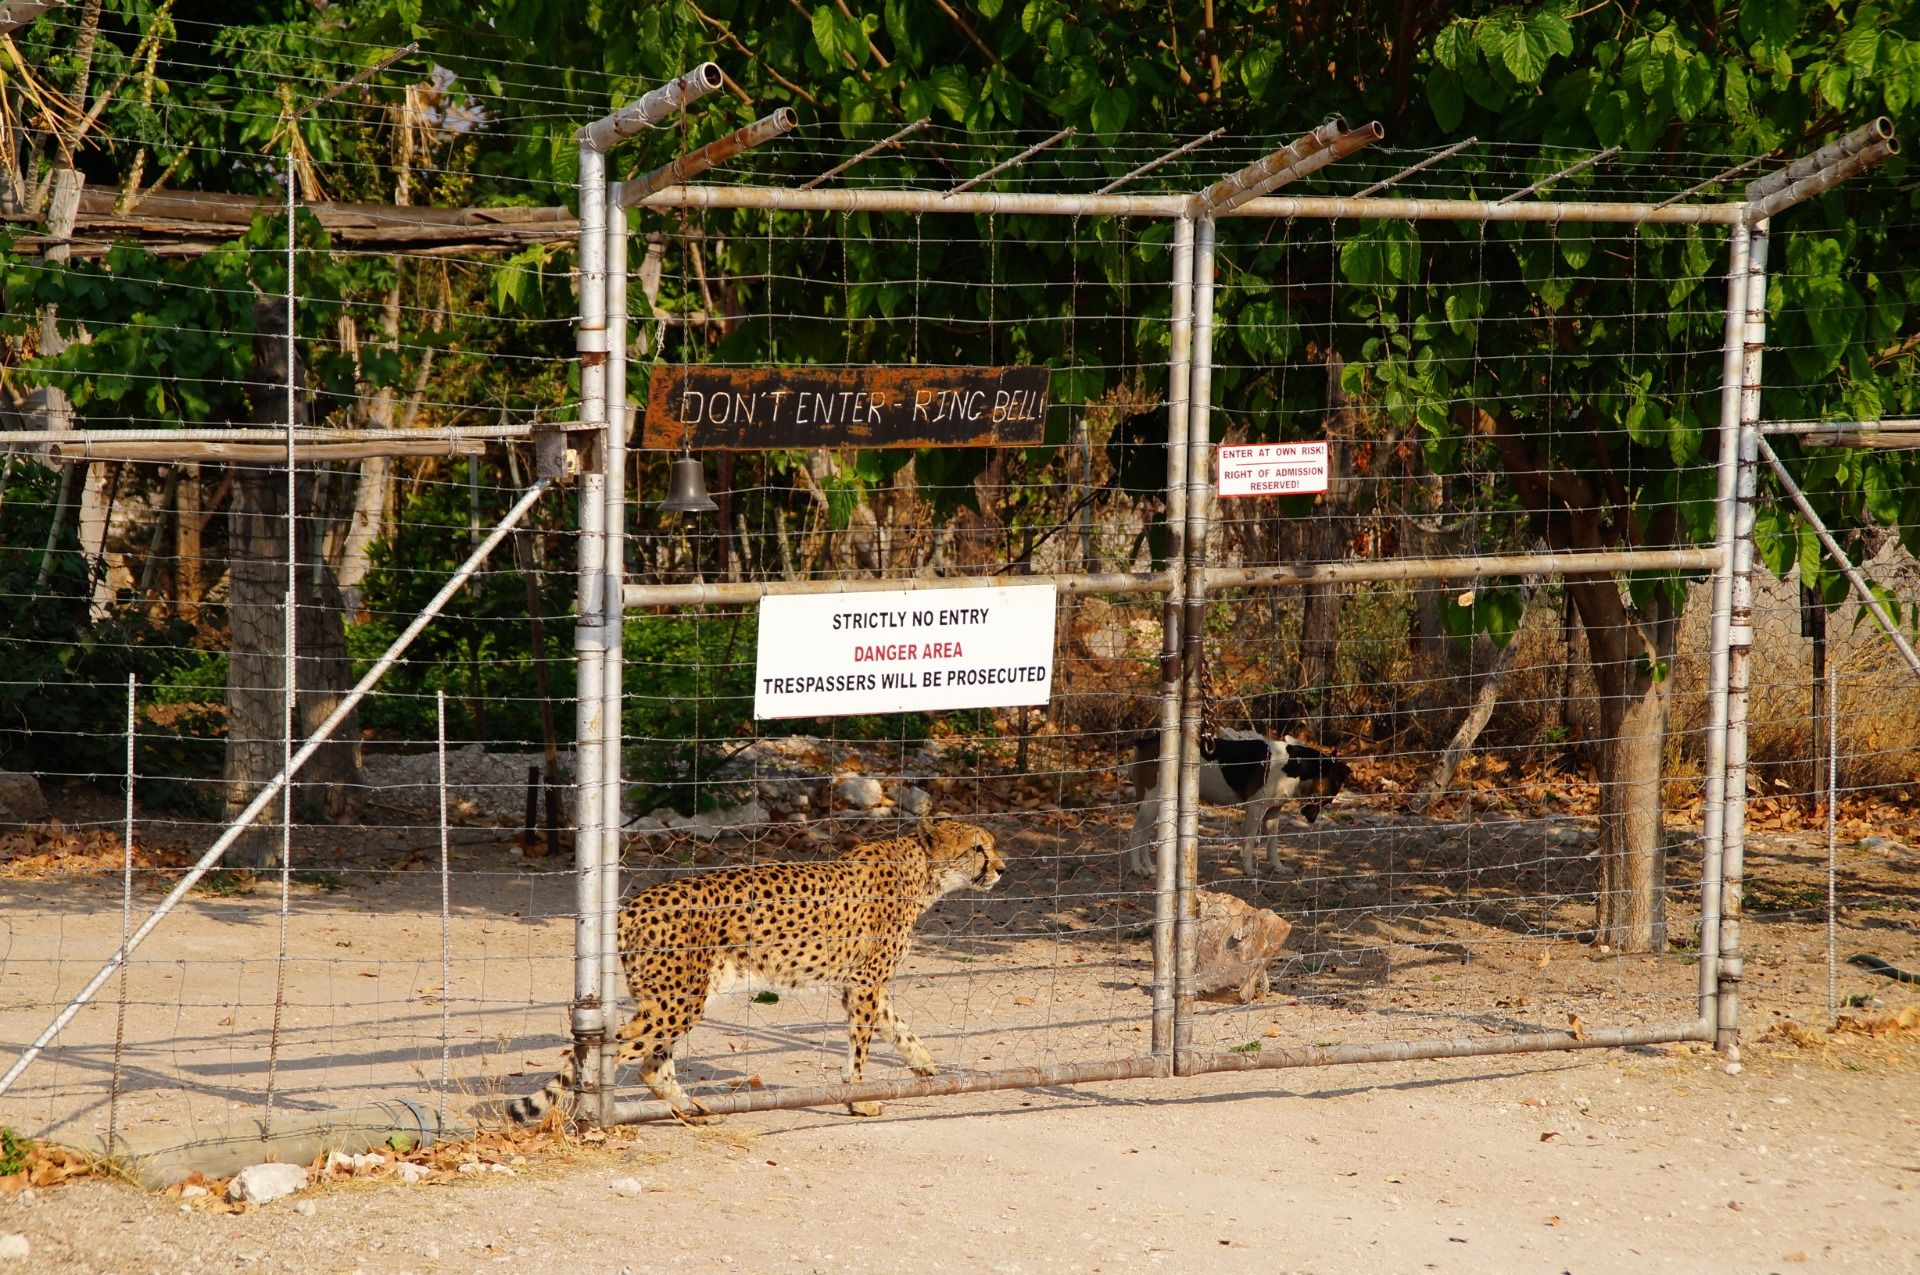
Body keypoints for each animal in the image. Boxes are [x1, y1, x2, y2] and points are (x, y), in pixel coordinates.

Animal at [505, 819, 1002, 1124]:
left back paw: (692, 1108)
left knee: (650, 1065)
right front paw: (859, 1100)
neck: (921, 870)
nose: (1001, 867)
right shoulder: (864, 983)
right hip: (676, 1002)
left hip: (672, 1001)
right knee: (610, 1052)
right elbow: (862, 1045)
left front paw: (925, 1064)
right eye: (978, 848)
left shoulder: (859, 985)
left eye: (992, 845)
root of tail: (631, 906)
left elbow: (897, 1027)